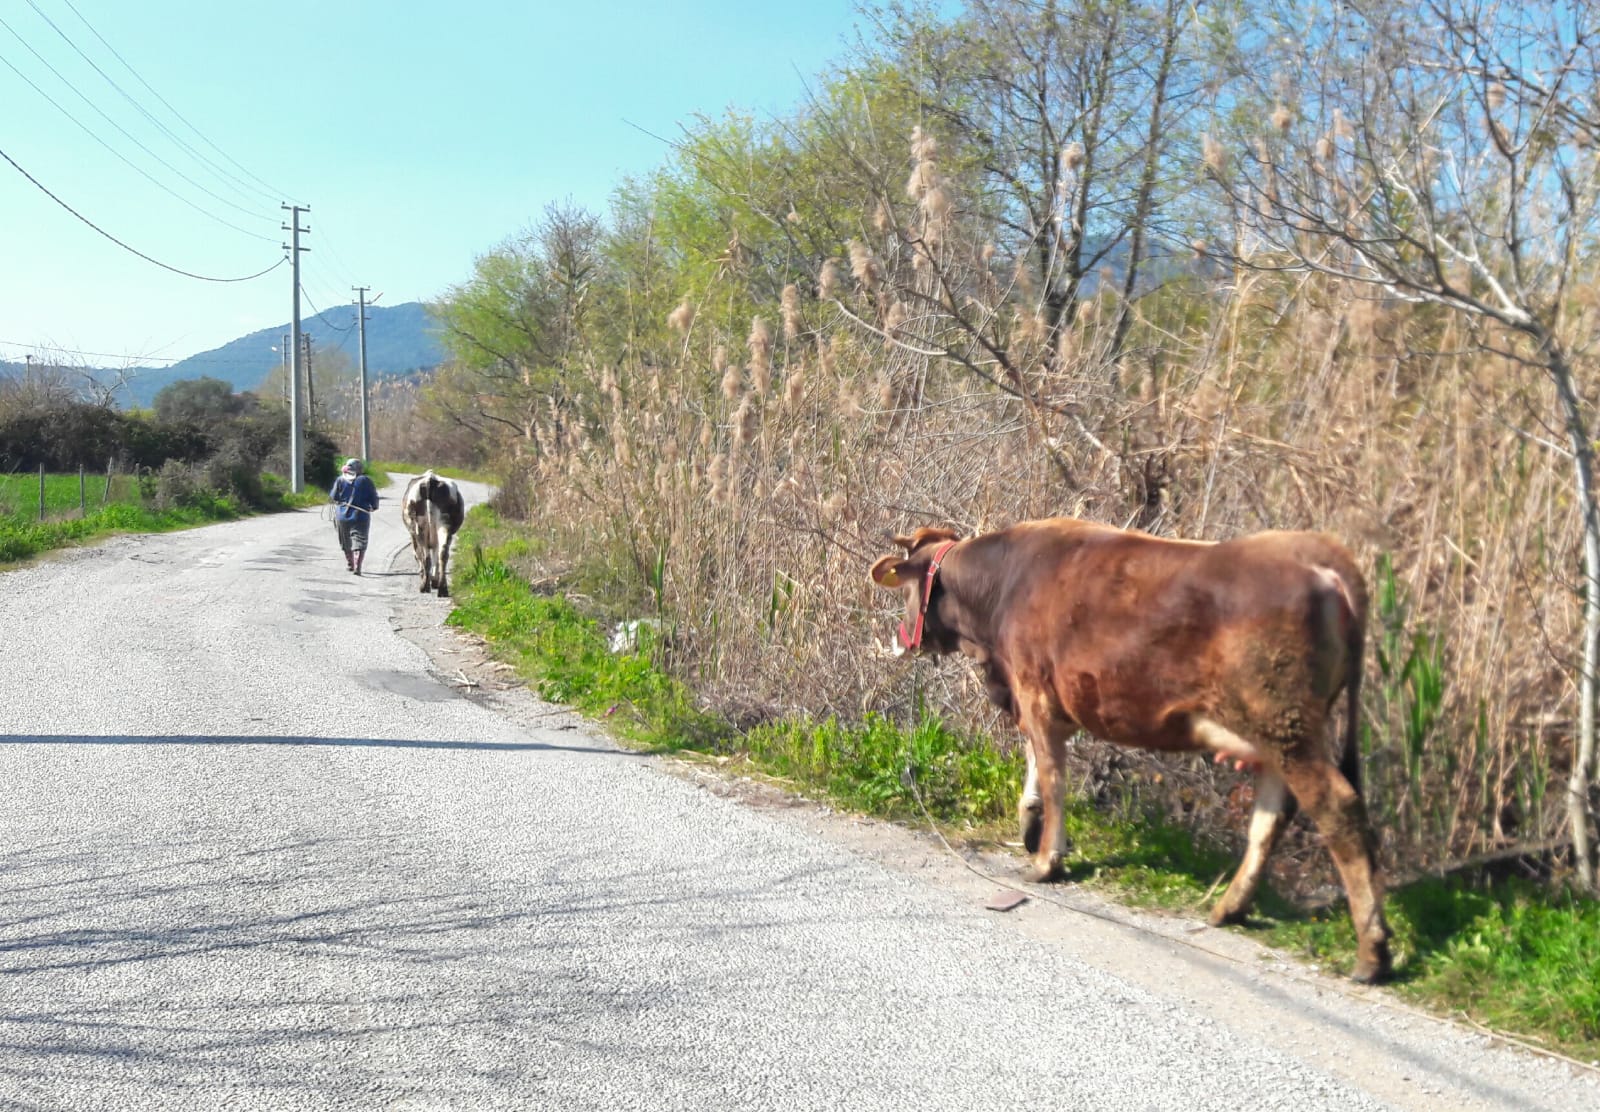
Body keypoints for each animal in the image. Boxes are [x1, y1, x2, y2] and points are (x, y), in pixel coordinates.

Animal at [403, 470, 467, 601]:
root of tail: (430, 479)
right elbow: (436, 556)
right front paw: (435, 580)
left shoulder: (413, 535)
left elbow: (419, 555)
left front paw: (430, 579)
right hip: (444, 525)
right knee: (443, 554)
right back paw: (443, 589)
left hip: (420, 527)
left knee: (425, 556)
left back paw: (425, 586)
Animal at [870, 518, 1395, 985]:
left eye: (906, 589)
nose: (901, 634)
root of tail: (1317, 551)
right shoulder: (1035, 695)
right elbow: (1036, 759)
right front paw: (1029, 822)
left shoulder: (1034, 689)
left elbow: (1054, 774)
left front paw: (1046, 859)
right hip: (1275, 735)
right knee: (1271, 817)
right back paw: (1230, 908)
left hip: (1286, 725)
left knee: (1338, 809)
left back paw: (1372, 952)